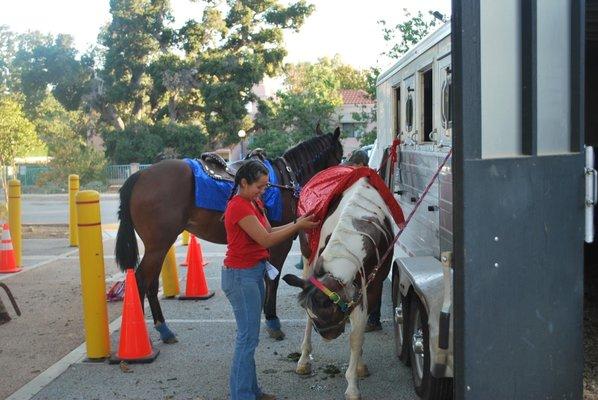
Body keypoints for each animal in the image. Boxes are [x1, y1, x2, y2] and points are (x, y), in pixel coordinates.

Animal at [115, 126, 344, 342]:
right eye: (340, 154)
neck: (285, 179)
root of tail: (141, 175)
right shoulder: (280, 243)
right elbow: (273, 280)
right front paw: (272, 319)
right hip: (158, 245)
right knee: (140, 281)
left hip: (159, 246)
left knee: (151, 283)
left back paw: (163, 329)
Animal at [284, 169, 406, 400]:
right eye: (317, 315)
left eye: (329, 312)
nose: (327, 335)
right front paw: (352, 383)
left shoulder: (370, 287)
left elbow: (357, 336)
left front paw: (356, 371)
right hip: (307, 258)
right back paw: (303, 359)